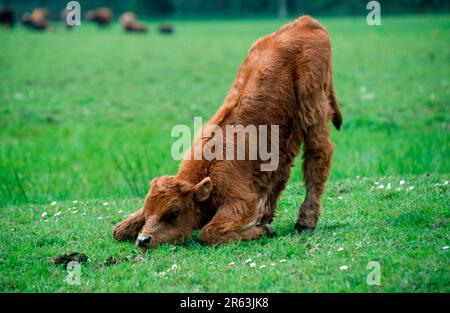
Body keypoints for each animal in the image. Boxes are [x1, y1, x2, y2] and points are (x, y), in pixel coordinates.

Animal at [111, 15, 342, 249]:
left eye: (174, 213)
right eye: (149, 210)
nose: (144, 239)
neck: (208, 168)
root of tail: (305, 21)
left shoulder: (240, 200)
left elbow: (209, 232)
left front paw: (262, 231)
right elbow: (118, 230)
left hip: (313, 110)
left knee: (317, 158)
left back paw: (305, 222)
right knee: (281, 171)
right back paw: (265, 216)